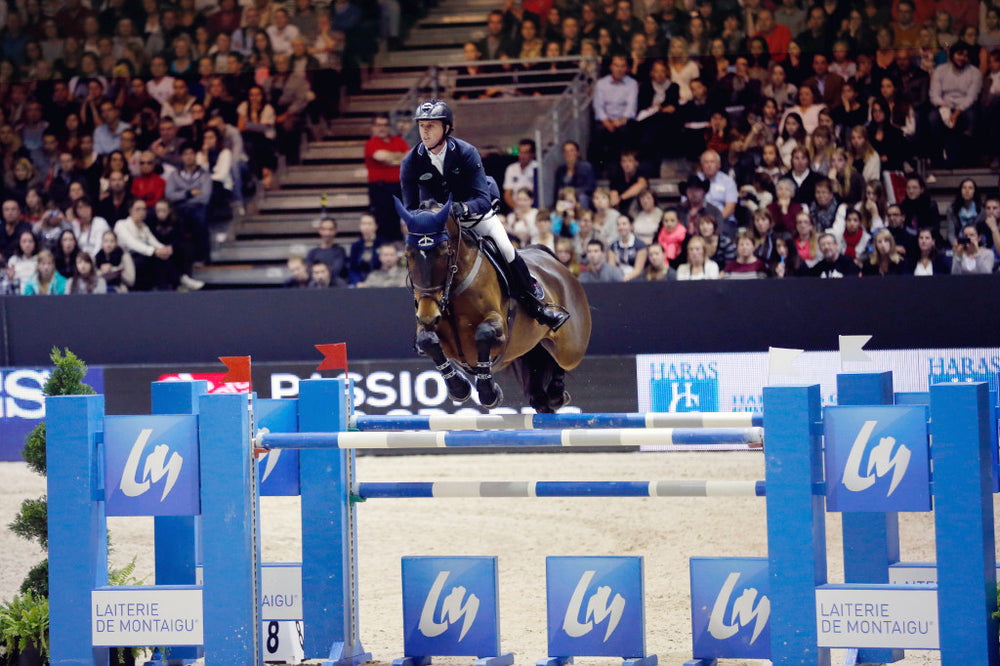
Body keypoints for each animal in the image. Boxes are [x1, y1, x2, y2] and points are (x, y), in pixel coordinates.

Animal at [395, 197, 592, 413]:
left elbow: (484, 333)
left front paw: (489, 393)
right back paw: (545, 399)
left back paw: (556, 393)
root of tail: (551, 258)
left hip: (571, 348)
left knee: (562, 361)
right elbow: (427, 340)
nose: (428, 316)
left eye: (444, 252)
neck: (453, 287)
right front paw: (460, 389)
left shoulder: (500, 328)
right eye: (408, 255)